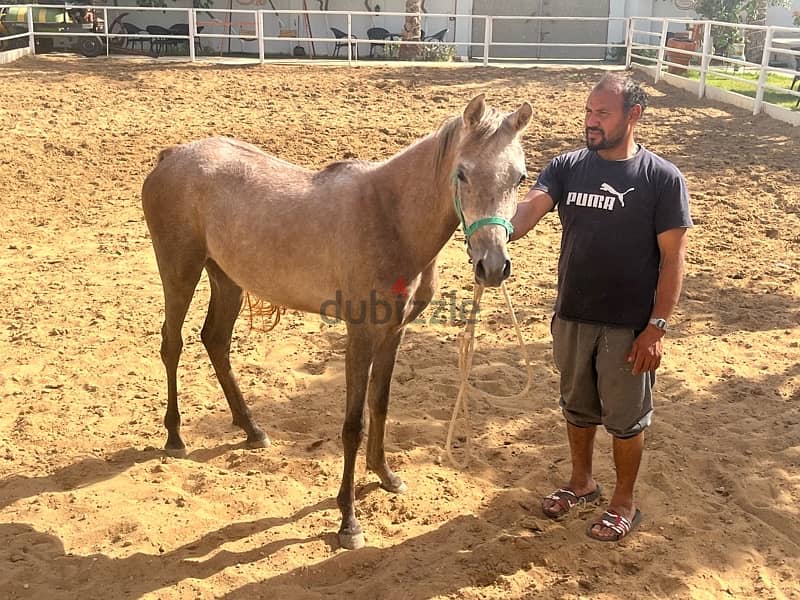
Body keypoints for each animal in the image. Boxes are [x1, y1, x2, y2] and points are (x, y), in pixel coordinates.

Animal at [143, 94, 532, 548]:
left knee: (216, 341)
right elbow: (353, 424)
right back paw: (175, 437)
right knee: (172, 343)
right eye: (463, 173)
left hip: (226, 278)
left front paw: (385, 476)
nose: (493, 266)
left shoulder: (394, 333)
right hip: (179, 271)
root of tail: (172, 156)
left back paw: (252, 430)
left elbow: (380, 405)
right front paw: (348, 521)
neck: (390, 217)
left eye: (520, 178)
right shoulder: (360, 336)